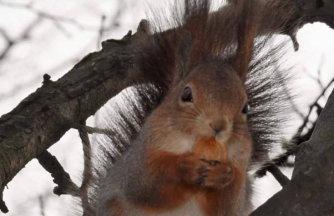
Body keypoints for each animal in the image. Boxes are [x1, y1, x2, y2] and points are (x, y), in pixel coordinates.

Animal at [82, 0, 294, 216]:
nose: (218, 126)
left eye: (246, 107)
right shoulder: (135, 165)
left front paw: (223, 175)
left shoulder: (239, 177)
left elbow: (227, 205)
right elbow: (146, 186)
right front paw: (185, 167)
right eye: (186, 94)